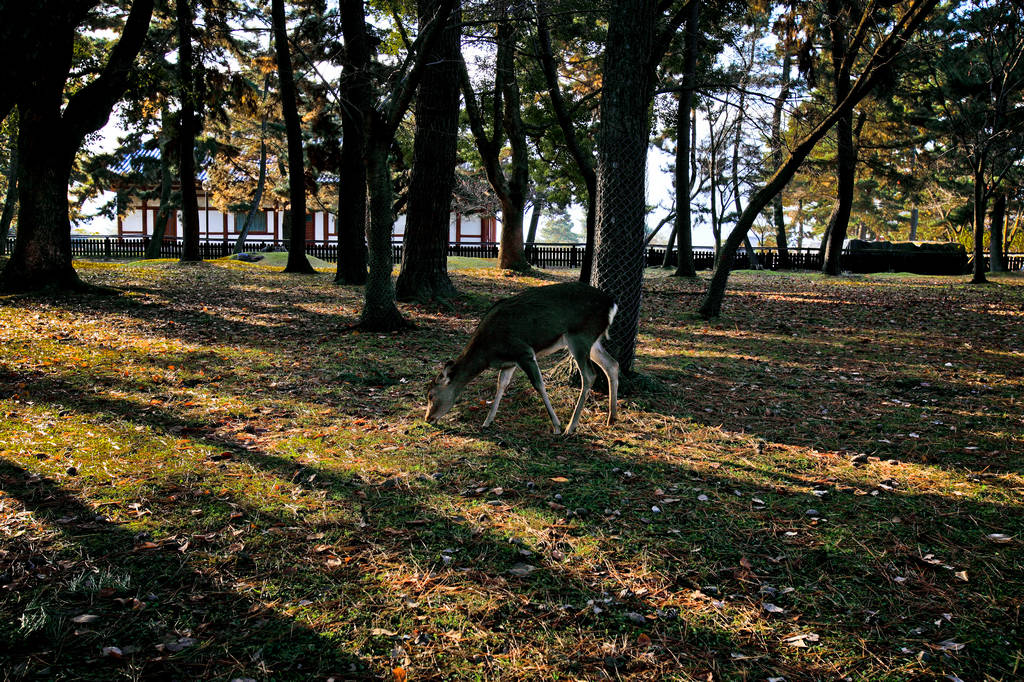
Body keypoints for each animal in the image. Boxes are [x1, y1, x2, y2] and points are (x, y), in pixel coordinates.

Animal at [421, 280, 614, 436]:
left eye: (431, 395)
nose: (428, 418)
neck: (488, 352)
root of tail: (612, 303)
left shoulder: (523, 351)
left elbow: (538, 385)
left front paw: (556, 425)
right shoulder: (509, 362)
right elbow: (501, 385)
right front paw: (487, 421)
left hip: (580, 336)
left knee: (589, 375)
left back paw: (570, 427)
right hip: (591, 340)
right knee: (612, 364)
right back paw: (611, 418)